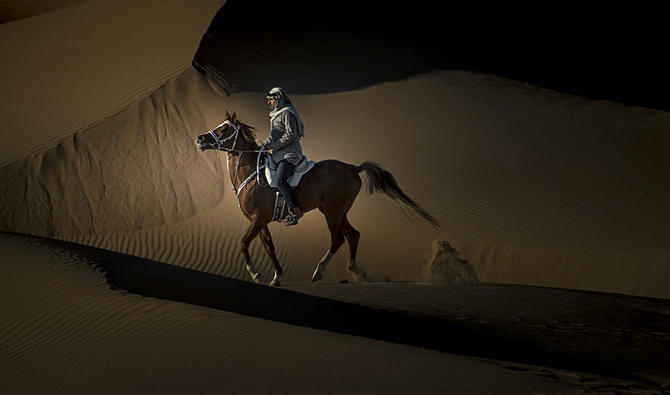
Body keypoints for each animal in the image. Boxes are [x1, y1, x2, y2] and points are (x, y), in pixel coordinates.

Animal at [197, 111, 444, 288]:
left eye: (225, 128)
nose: (200, 139)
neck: (251, 172)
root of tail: (352, 168)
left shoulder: (259, 218)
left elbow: (243, 242)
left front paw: (256, 273)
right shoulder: (260, 220)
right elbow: (269, 246)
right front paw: (276, 277)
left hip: (333, 212)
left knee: (338, 239)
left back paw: (319, 272)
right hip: (336, 211)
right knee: (353, 235)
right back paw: (355, 270)